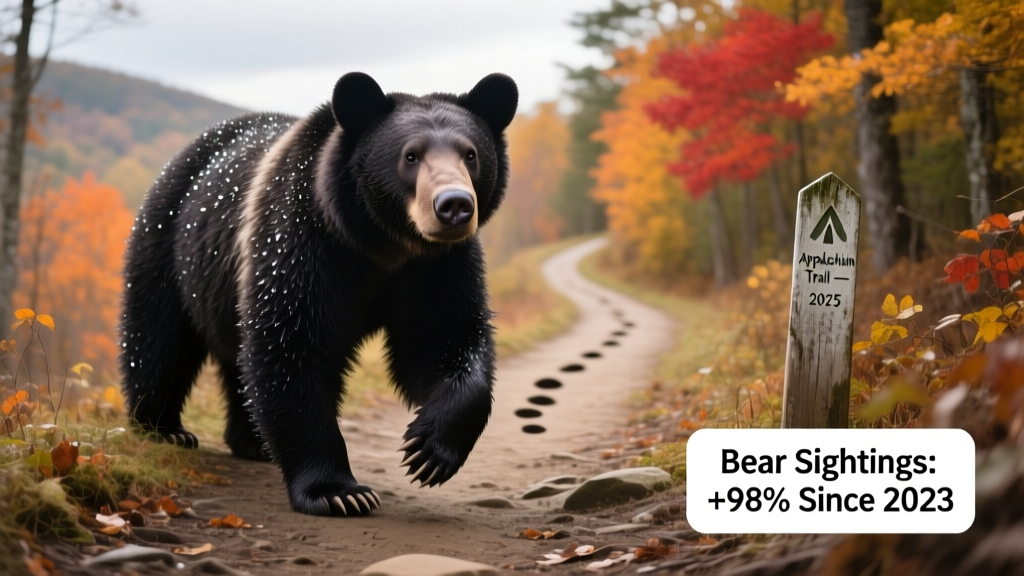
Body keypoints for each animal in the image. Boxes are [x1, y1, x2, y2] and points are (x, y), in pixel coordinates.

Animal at [119, 72, 518, 517]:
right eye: (411, 156)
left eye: (471, 154)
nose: (454, 205)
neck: (380, 242)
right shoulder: (302, 243)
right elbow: (293, 346)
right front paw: (339, 491)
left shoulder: (438, 266)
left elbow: (443, 338)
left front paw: (429, 449)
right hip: (171, 242)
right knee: (160, 338)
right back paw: (164, 428)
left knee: (234, 357)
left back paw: (252, 440)